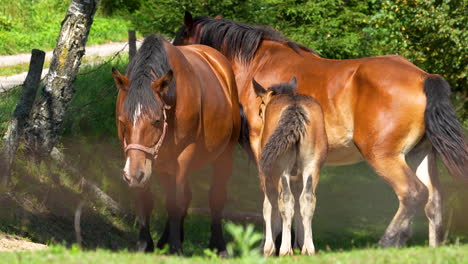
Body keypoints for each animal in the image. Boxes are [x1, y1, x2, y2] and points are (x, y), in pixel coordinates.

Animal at [111, 33, 239, 254]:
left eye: (156, 120)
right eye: (122, 120)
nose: (134, 174)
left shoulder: (183, 154)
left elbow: (177, 201)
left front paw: (176, 247)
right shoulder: (141, 159)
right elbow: (147, 200)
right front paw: (145, 244)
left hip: (224, 155)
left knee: (216, 197)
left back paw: (218, 245)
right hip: (163, 163)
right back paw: (166, 239)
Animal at [252, 77, 330, 256]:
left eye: (260, 110)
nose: (260, 115)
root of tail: (295, 108)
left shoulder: (267, 175)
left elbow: (269, 206)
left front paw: (269, 247)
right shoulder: (298, 177)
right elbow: (299, 205)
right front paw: (300, 244)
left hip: (281, 167)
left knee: (285, 201)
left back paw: (285, 249)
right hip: (312, 166)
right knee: (307, 200)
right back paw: (308, 248)